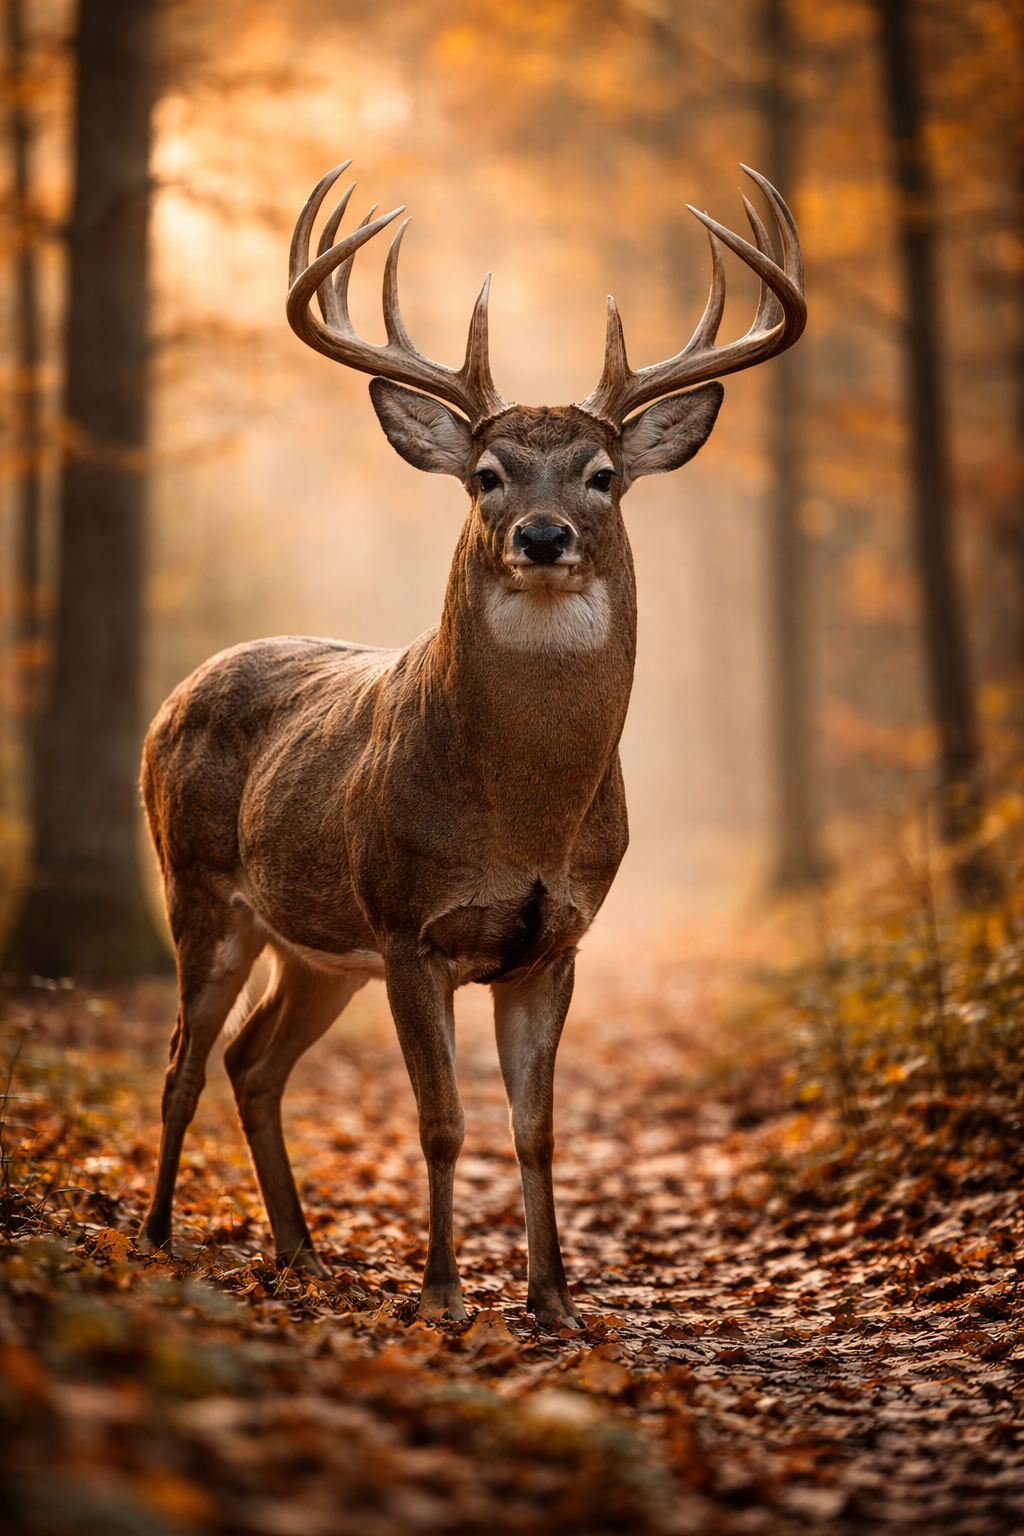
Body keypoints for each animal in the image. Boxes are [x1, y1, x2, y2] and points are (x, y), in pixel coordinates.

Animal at [140, 160, 805, 1327]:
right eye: (488, 473)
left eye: (600, 473)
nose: (542, 535)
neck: (521, 814)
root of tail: (175, 695)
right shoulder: (411, 928)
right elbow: (442, 1123)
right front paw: (443, 1296)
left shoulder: (556, 942)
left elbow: (535, 1132)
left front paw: (554, 1302)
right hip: (203, 888)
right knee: (183, 1058)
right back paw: (160, 1236)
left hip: (318, 948)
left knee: (252, 1061)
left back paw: (302, 1255)